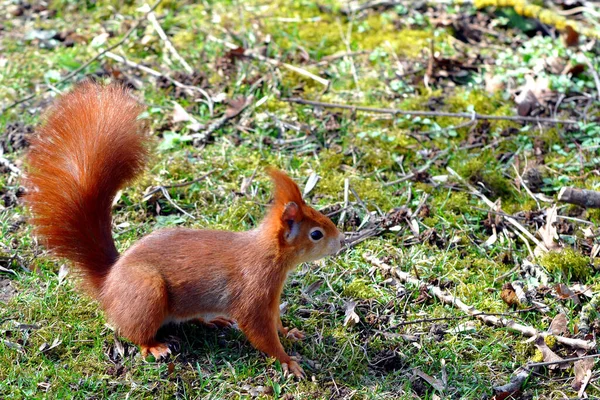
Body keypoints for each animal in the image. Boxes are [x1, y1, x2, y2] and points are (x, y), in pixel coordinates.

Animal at [23, 81, 344, 378]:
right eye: (316, 234)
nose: (341, 241)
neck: (270, 254)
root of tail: (108, 283)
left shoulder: (272, 297)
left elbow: (275, 321)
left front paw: (289, 332)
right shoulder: (253, 292)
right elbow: (260, 331)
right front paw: (287, 361)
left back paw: (213, 321)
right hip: (147, 291)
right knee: (135, 333)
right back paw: (154, 346)